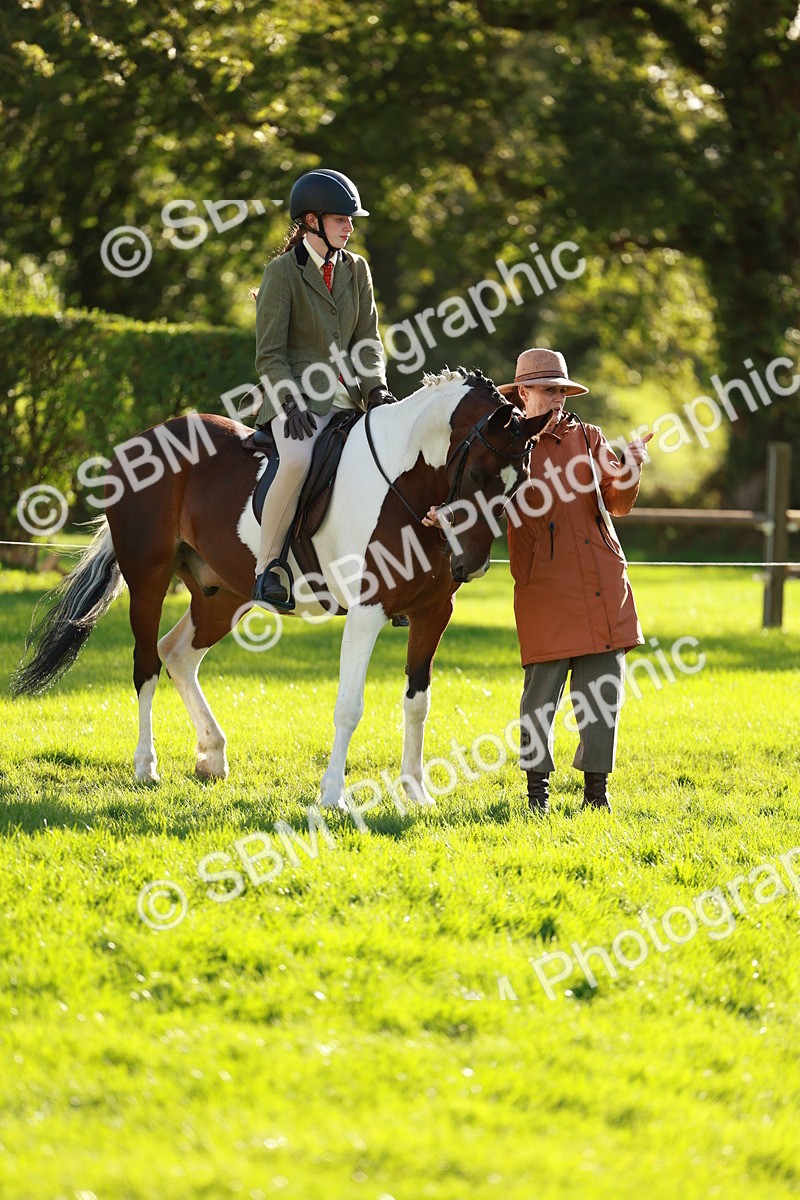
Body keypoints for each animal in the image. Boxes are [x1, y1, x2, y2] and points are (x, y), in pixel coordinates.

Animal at [12, 368, 550, 809]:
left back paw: (212, 756)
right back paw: (147, 766)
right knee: (146, 664)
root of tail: (143, 440)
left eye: (520, 479)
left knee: (177, 654)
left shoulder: (433, 613)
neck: (406, 483)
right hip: (148, 581)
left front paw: (416, 794)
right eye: (477, 472)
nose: (471, 565)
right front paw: (333, 796)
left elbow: (417, 704)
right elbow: (349, 707)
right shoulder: (367, 611)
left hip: (224, 595)